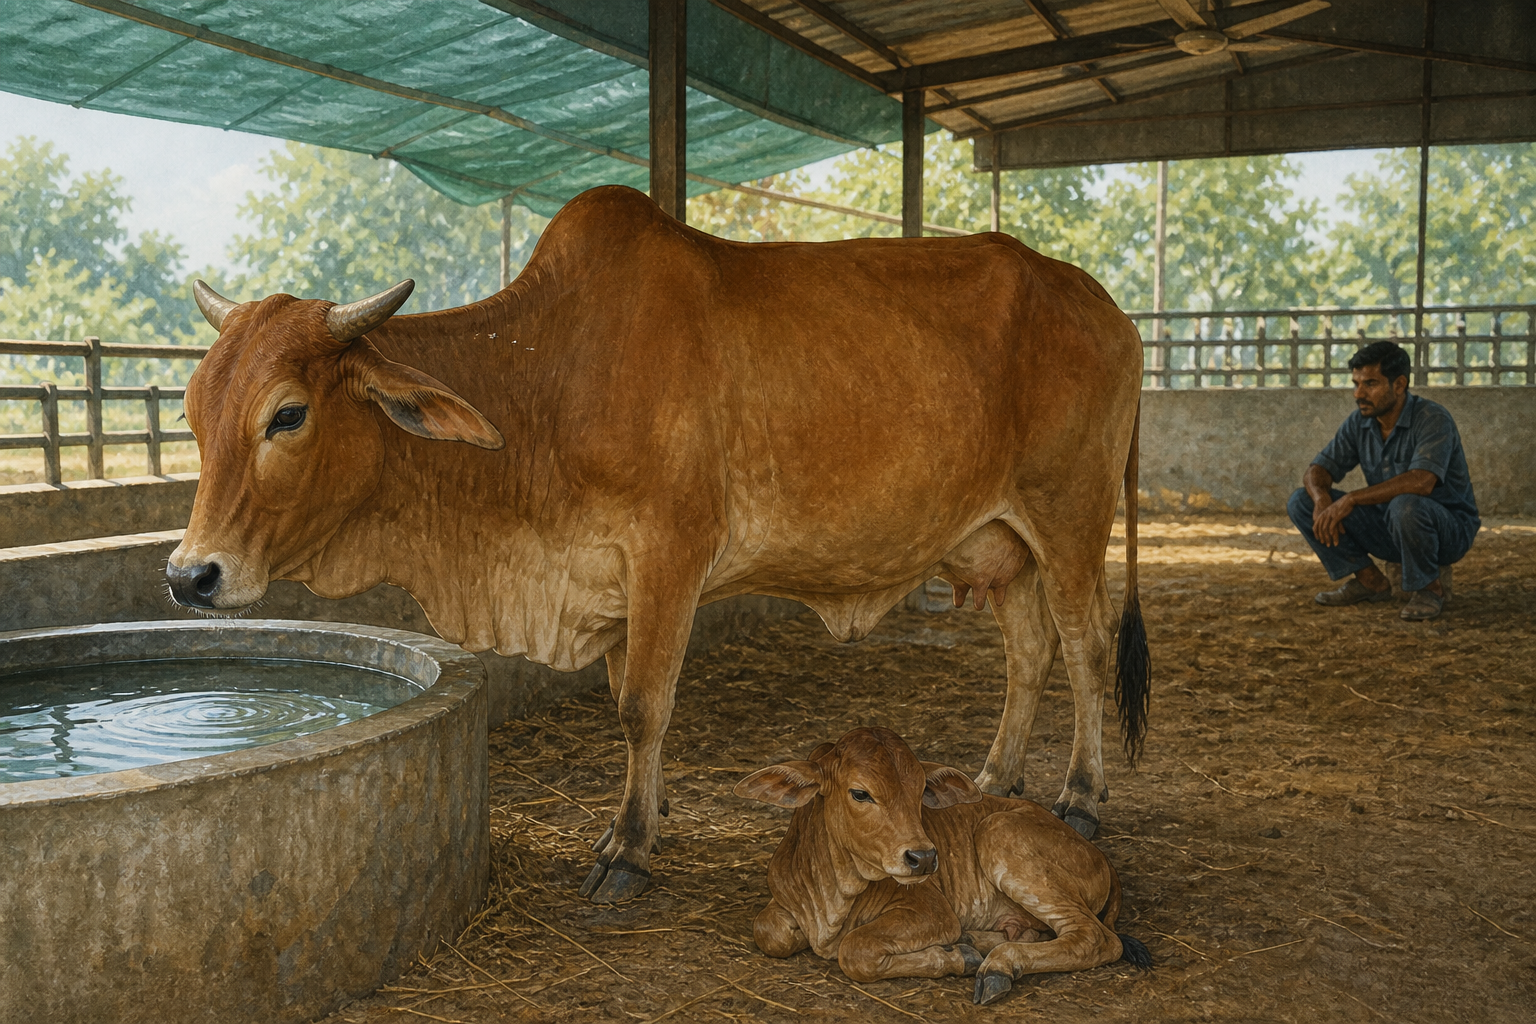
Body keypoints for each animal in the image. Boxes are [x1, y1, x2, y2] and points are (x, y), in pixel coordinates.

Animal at [167, 184, 1149, 904]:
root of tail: (1107, 306)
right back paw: (992, 777)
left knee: (1086, 645)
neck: (546, 379)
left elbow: (643, 703)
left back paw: (1081, 795)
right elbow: (623, 699)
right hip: (1000, 541)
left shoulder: (670, 552)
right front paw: (652, 808)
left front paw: (628, 849)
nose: (190, 576)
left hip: (1070, 516)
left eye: (287, 414)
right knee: (1029, 653)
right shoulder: (608, 577)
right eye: (191, 410)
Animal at [734, 727, 1151, 1005]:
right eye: (860, 793)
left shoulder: (932, 910)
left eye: (921, 792)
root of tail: (1101, 857)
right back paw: (976, 944)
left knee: (1096, 938)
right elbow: (767, 930)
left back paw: (995, 966)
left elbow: (855, 949)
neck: (834, 895)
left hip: (1000, 833)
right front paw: (960, 950)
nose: (924, 858)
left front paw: (953, 957)